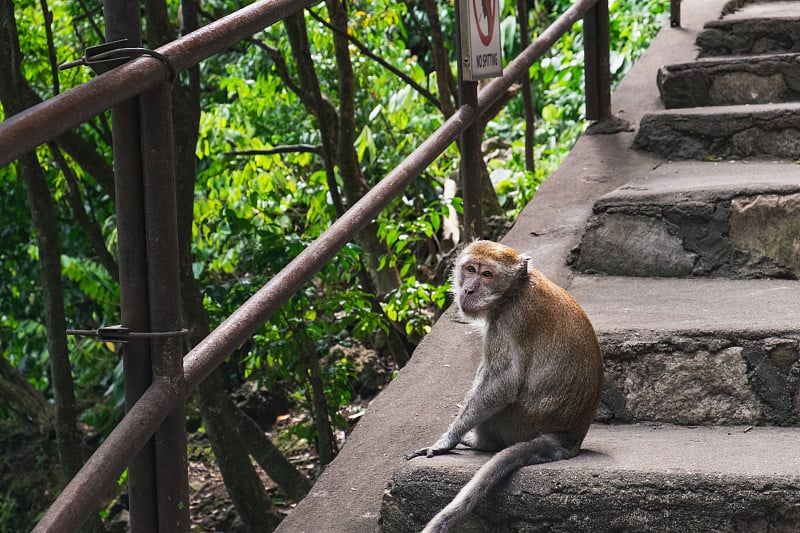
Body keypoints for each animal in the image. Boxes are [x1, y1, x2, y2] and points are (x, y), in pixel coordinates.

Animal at [406, 239, 600, 528]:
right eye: (471, 269)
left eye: (487, 275)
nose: (468, 289)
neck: (513, 293)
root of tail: (568, 438)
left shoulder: (508, 322)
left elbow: (504, 383)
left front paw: (448, 439)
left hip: (517, 423)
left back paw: (481, 443)